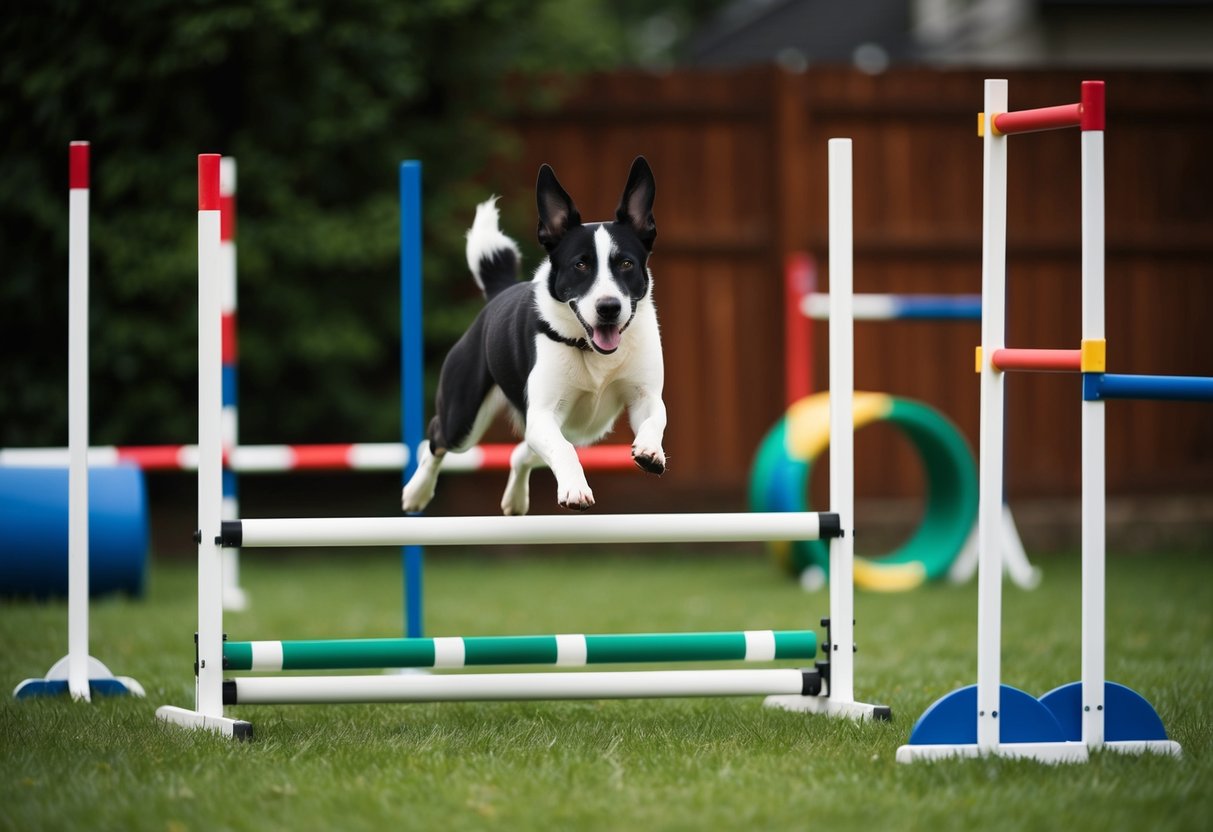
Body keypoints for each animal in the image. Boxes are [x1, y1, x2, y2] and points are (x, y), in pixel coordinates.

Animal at [402, 156, 669, 514]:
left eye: (626, 264)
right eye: (580, 265)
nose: (609, 307)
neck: (591, 350)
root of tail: (498, 293)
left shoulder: (644, 396)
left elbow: (656, 419)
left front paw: (650, 451)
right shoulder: (543, 414)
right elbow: (562, 450)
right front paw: (575, 490)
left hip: (580, 431)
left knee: (522, 452)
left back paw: (515, 500)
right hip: (464, 418)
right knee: (437, 439)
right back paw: (416, 492)